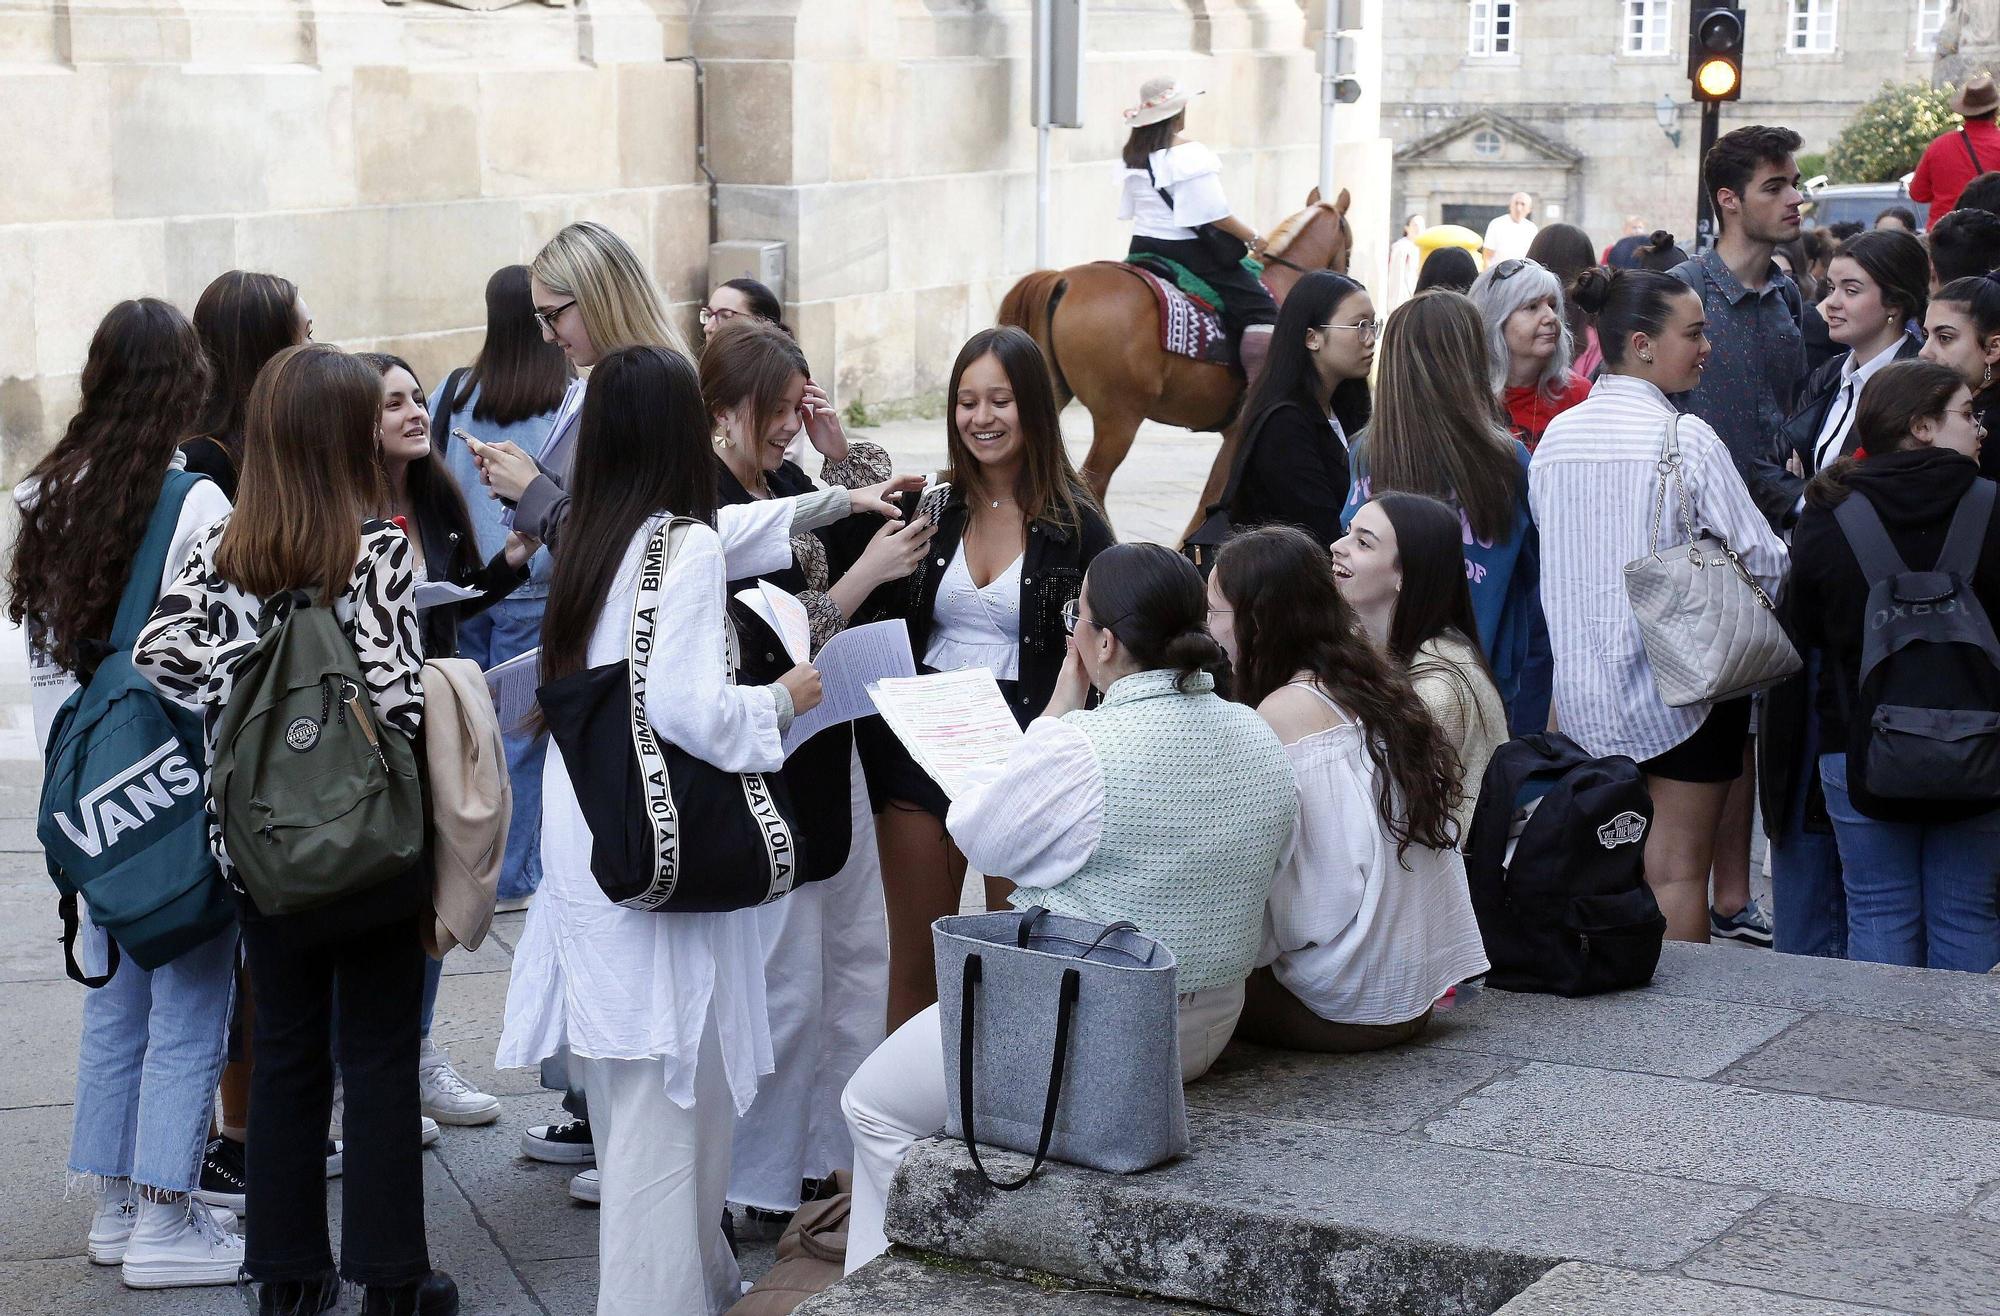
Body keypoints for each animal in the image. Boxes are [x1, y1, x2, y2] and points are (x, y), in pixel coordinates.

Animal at [1000, 186, 1360, 532]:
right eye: (1350, 246)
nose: (1350, 280)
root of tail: (1062, 279)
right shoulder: (1240, 432)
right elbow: (1211, 497)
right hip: (1120, 419)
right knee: (1092, 486)